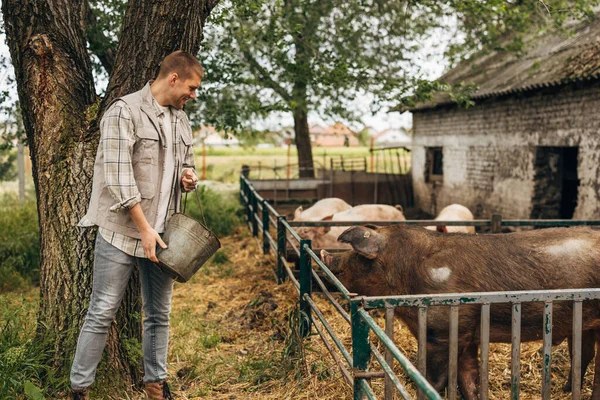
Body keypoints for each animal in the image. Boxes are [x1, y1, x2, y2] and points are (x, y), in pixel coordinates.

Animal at [322, 227, 600, 398]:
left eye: (356, 256)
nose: (326, 256)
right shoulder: (467, 332)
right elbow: (467, 376)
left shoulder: (443, 330)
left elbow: (434, 379)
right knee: (583, 355)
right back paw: (566, 389)